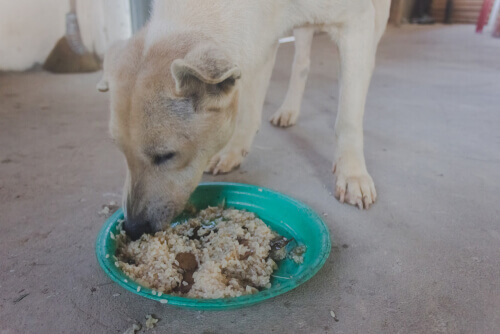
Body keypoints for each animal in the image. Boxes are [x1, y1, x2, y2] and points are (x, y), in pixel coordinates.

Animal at [97, 0, 392, 240]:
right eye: (122, 153)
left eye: (166, 156)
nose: (132, 228)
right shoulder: (263, 41)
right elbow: (249, 104)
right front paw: (234, 150)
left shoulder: (357, 20)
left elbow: (349, 113)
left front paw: (352, 173)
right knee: (302, 63)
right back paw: (288, 110)